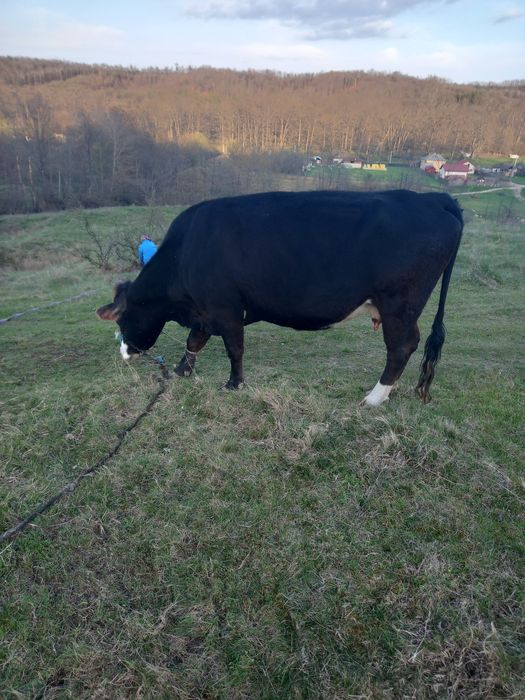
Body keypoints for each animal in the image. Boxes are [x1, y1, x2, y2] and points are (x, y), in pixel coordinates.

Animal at [96, 190, 463, 406]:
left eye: (123, 318)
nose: (125, 353)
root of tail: (432, 197)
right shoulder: (206, 310)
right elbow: (194, 341)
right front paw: (180, 371)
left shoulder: (224, 307)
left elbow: (234, 348)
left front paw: (234, 384)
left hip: (399, 304)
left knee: (401, 347)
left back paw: (374, 398)